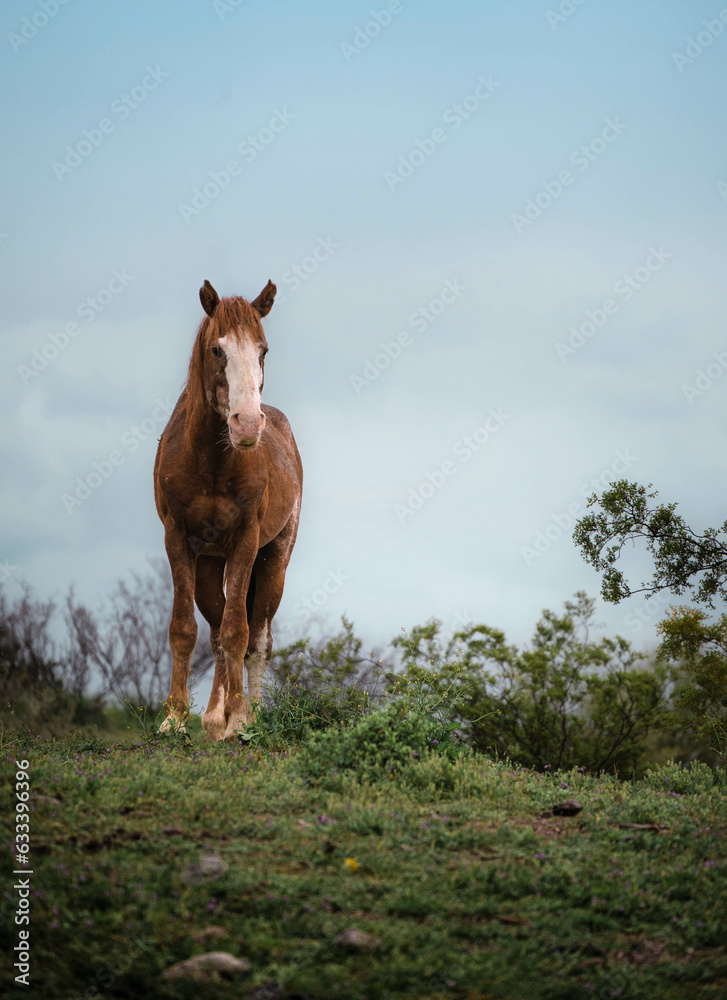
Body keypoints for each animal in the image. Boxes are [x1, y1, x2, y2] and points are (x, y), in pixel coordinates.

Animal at [153, 278, 302, 741]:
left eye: (263, 350)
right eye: (217, 349)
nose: (247, 424)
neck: (212, 461)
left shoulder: (245, 541)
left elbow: (240, 630)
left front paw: (238, 719)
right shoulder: (178, 538)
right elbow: (185, 628)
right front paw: (174, 719)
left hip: (274, 560)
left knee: (258, 640)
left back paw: (246, 715)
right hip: (207, 563)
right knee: (216, 628)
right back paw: (212, 717)